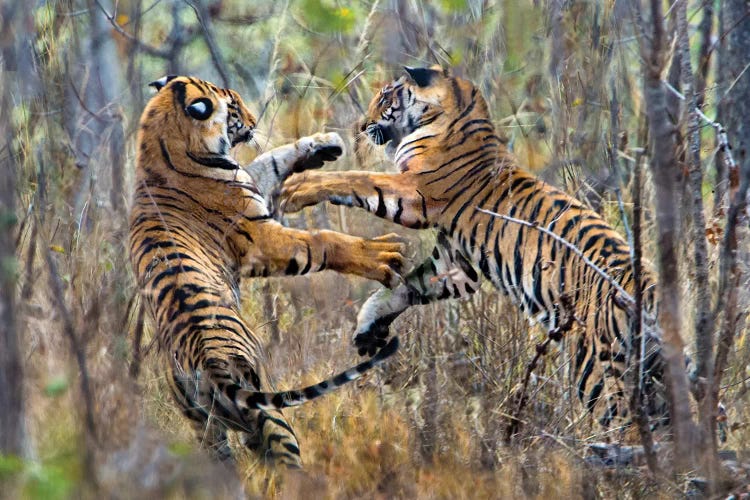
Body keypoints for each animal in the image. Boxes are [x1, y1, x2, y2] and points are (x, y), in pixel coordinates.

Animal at [131, 75, 408, 468]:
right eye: (234, 106)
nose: (252, 120)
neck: (160, 140)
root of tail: (209, 363)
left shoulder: (252, 190)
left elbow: (270, 160)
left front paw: (323, 144)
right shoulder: (261, 236)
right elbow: (323, 241)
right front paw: (385, 255)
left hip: (206, 428)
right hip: (267, 408)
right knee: (284, 459)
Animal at [282, 66, 668, 430]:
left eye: (385, 98)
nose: (361, 126)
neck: (457, 113)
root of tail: (649, 290)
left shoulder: (415, 195)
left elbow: (355, 179)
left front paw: (296, 189)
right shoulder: (457, 265)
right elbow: (404, 286)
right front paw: (368, 328)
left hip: (596, 368)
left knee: (623, 425)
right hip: (652, 374)